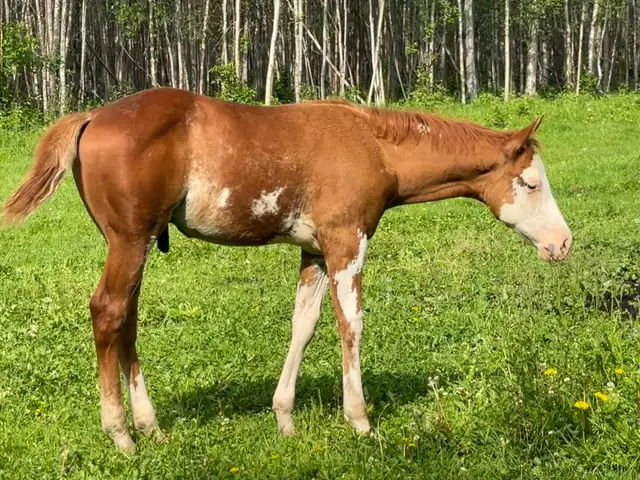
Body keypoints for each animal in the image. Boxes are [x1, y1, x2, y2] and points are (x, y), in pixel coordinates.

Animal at [1, 88, 572, 452]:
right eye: (530, 184)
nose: (562, 244)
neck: (373, 146)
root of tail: (92, 116)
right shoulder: (346, 242)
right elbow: (351, 325)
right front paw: (360, 422)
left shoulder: (314, 251)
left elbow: (304, 324)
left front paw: (285, 419)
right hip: (128, 241)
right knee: (108, 311)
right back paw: (121, 435)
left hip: (135, 245)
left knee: (127, 322)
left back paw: (151, 427)